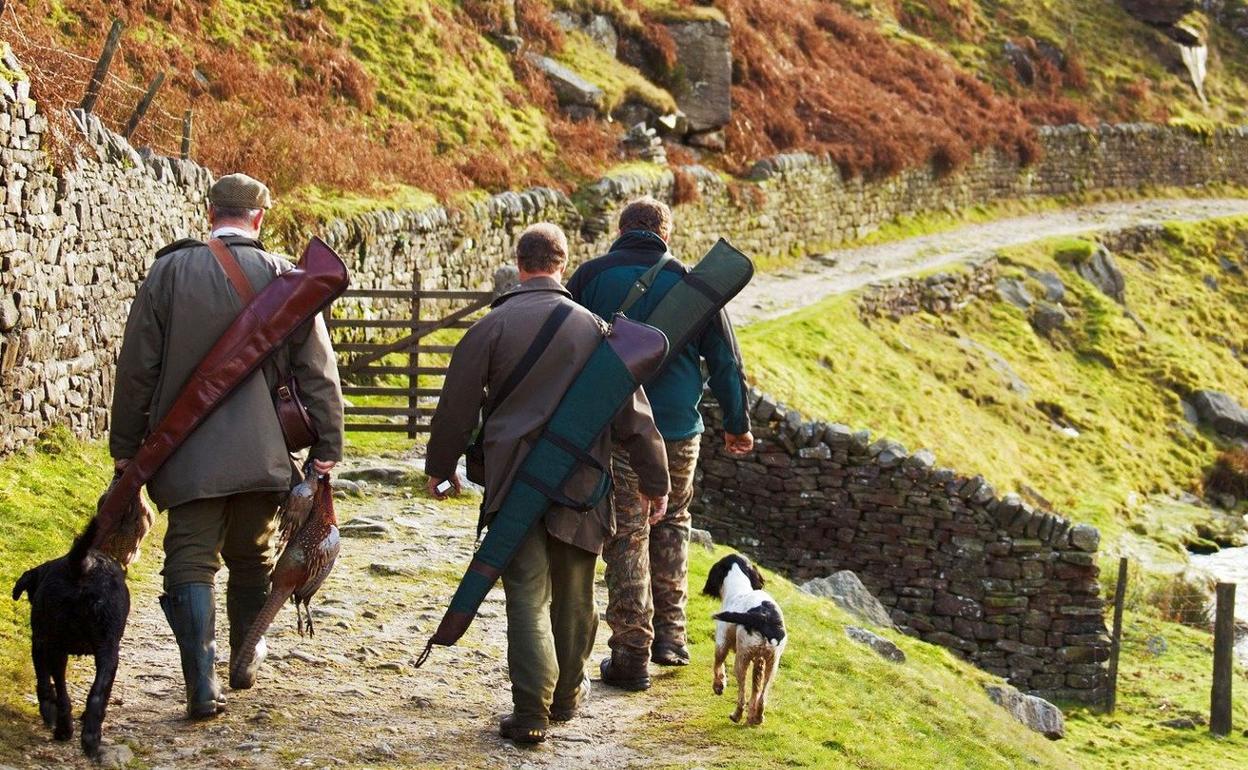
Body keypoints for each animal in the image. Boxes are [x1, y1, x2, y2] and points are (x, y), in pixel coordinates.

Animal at [10, 516, 128, 758]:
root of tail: (81, 566)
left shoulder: (39, 642)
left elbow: (44, 682)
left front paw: (47, 710)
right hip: (108, 651)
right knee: (96, 695)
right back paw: (91, 737)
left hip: (56, 646)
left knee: (62, 693)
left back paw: (63, 729)